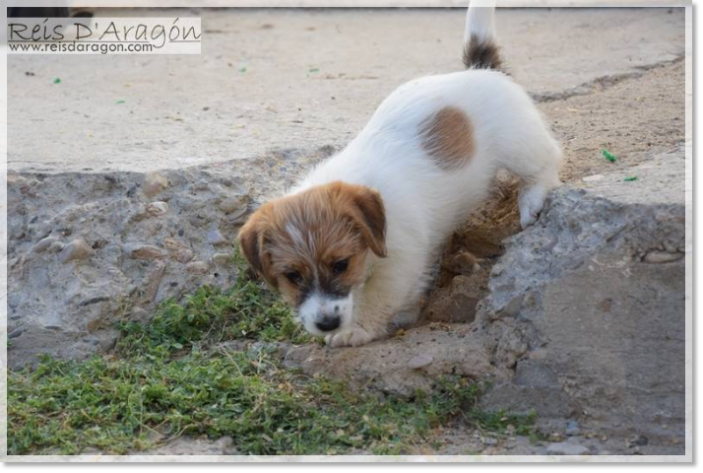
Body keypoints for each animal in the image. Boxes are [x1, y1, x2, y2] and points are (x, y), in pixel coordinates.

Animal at [239, 0, 564, 346]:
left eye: (341, 264)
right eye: (292, 276)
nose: (327, 324)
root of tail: (480, 69)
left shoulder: (400, 262)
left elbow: (379, 298)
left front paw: (358, 329)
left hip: (519, 144)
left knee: (548, 160)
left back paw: (531, 200)